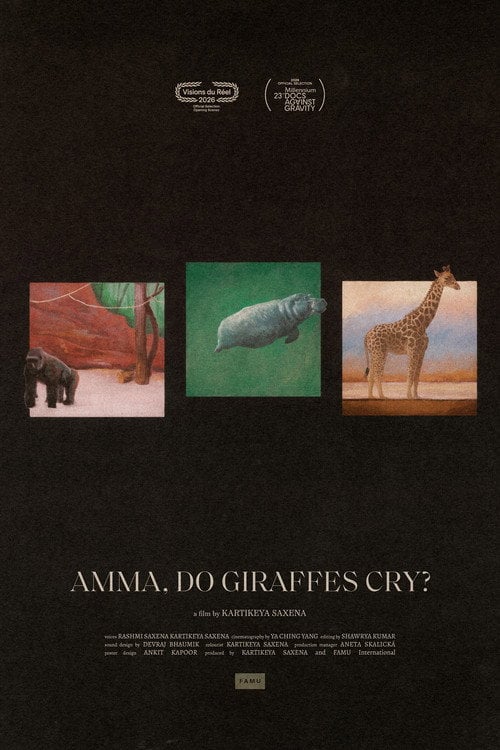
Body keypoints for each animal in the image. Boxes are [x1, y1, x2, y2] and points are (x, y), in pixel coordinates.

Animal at [364, 266, 460, 399]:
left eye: (453, 276)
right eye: (446, 278)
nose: (458, 286)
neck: (423, 323)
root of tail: (367, 335)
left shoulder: (421, 352)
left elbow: (416, 376)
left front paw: (416, 396)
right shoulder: (412, 350)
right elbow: (410, 374)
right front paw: (409, 396)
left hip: (374, 353)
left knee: (371, 374)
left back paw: (371, 396)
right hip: (379, 352)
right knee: (378, 373)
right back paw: (382, 396)